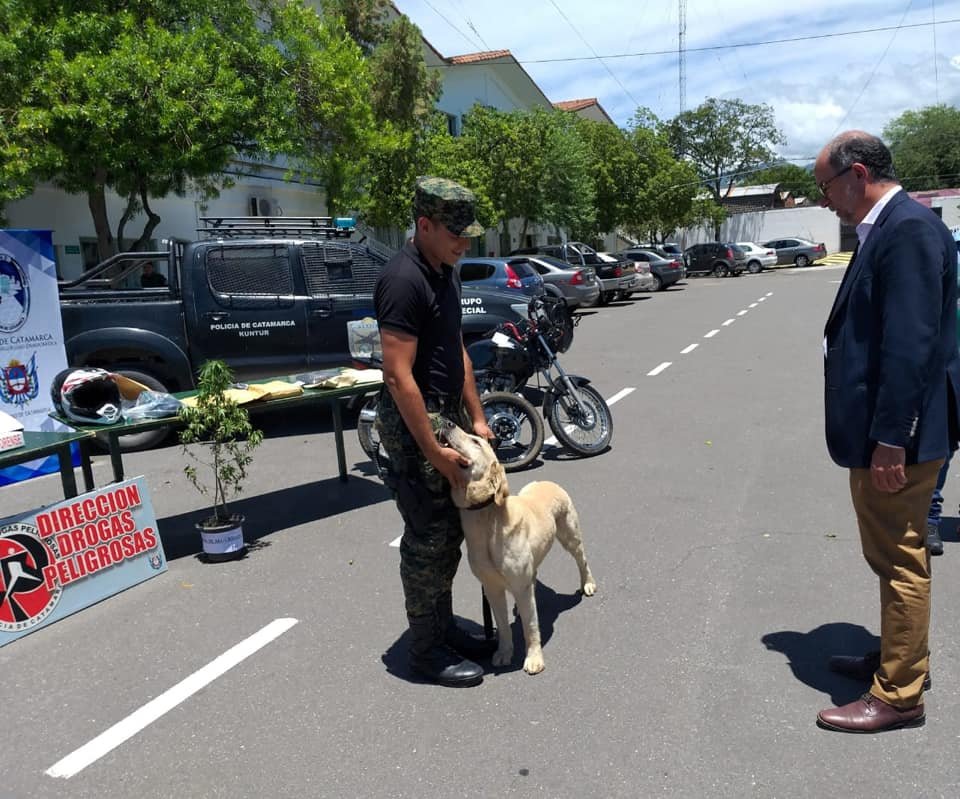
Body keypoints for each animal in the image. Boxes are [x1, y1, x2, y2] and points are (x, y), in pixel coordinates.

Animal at [440, 418, 592, 676]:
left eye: (476, 441)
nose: (447, 422)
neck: (486, 520)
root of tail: (545, 481)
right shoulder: (491, 587)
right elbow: (502, 626)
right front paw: (504, 652)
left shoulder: (520, 585)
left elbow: (531, 627)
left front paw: (534, 658)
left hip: (570, 536)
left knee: (582, 560)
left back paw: (588, 583)